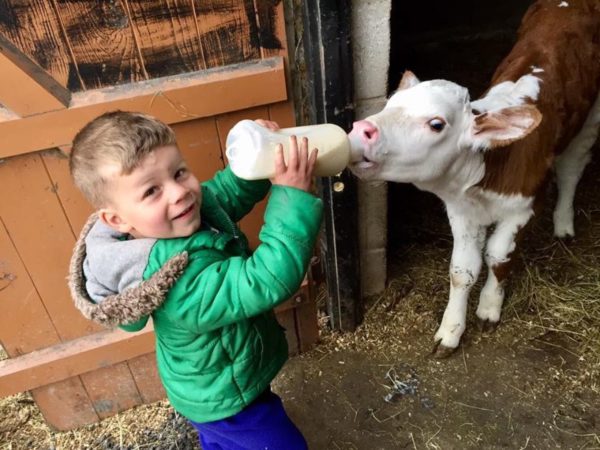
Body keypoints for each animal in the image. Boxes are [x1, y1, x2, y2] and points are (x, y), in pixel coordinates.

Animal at [346, 0, 600, 358]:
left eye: (437, 124)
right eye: (389, 103)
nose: (362, 129)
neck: (485, 170)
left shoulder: (523, 207)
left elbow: (499, 257)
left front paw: (489, 308)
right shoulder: (461, 210)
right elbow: (462, 269)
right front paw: (450, 331)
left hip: (592, 114)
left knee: (573, 165)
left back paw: (564, 222)